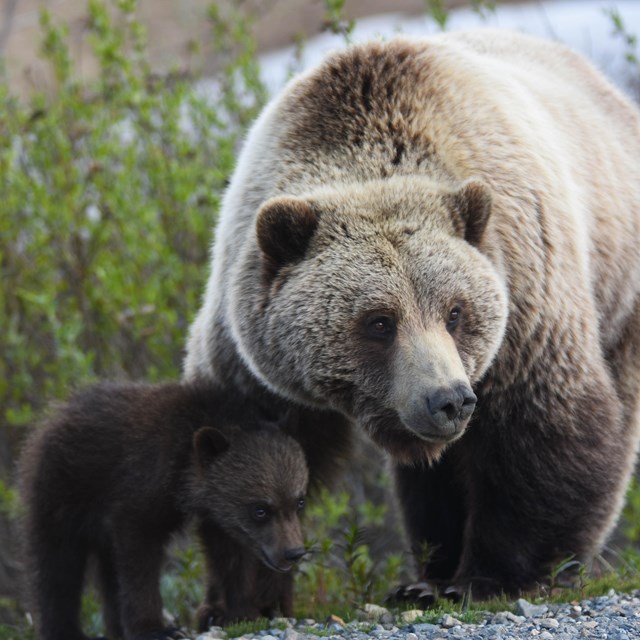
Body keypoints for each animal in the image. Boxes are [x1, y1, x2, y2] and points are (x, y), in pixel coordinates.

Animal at [18, 380, 308, 640]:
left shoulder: (218, 516)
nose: (293, 552)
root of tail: (57, 411)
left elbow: (229, 557)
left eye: (299, 501)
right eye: (260, 509)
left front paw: (241, 612)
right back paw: (65, 630)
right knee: (57, 564)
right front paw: (157, 629)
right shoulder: (139, 491)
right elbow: (138, 560)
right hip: (63, 490)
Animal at [184, 31, 640, 600]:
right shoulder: (251, 351)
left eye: (455, 311)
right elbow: (237, 447)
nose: (449, 400)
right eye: (379, 321)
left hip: (618, 289)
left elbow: (544, 429)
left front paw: (491, 576)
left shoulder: (524, 300)